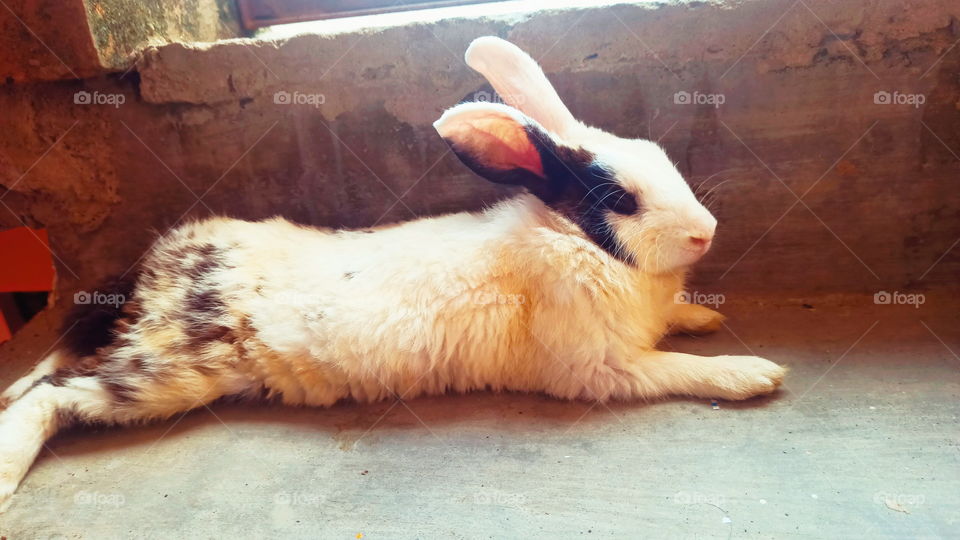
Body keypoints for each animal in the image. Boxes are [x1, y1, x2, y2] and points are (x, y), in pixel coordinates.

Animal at [0, 36, 785, 511]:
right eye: (621, 202)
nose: (706, 231)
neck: (578, 243)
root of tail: (160, 268)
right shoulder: (604, 367)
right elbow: (678, 370)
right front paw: (754, 372)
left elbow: (679, 326)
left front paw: (704, 315)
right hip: (169, 369)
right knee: (53, 396)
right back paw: (8, 476)